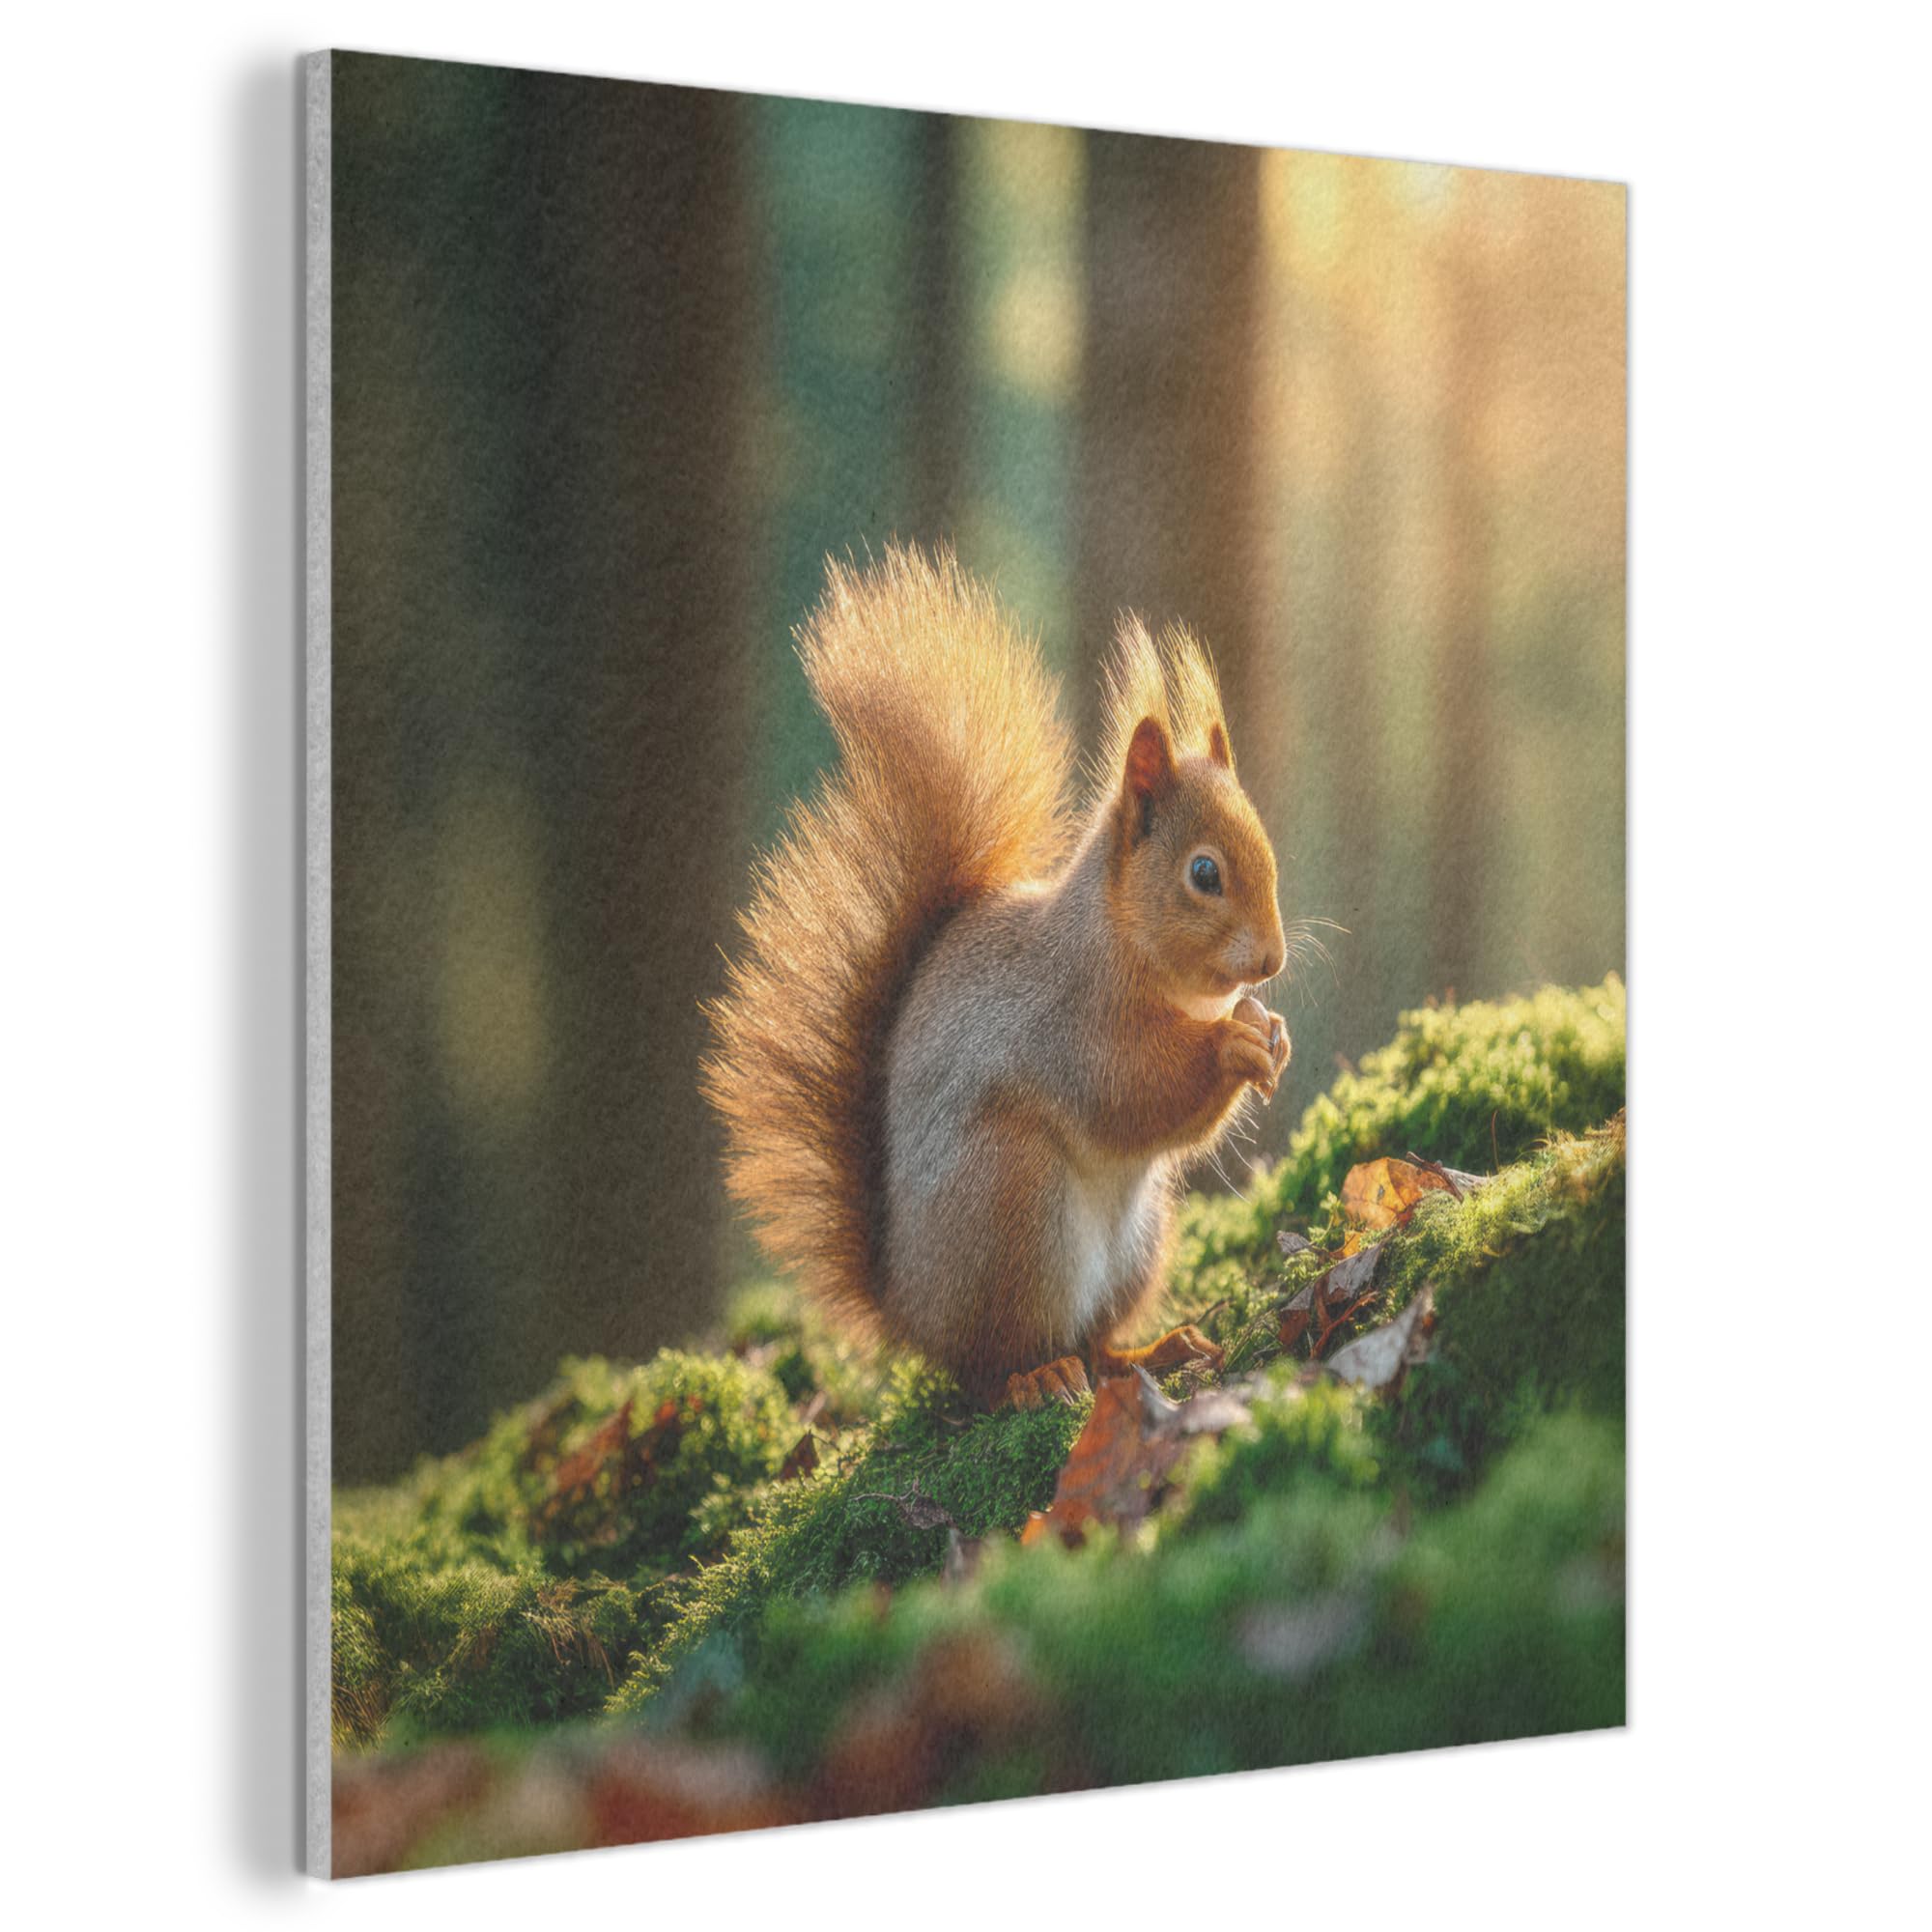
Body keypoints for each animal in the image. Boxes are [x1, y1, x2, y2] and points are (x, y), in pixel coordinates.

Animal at [703, 544, 1290, 1410]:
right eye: (1205, 873)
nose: (1274, 961)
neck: (1117, 943)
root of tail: (908, 1309)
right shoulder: (1068, 1022)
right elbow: (1133, 1092)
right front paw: (1233, 1046)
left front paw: (1271, 1034)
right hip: (1012, 1202)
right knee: (992, 1366)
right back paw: (1035, 1378)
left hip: (1138, 1241)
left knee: (1095, 1342)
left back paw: (1151, 1351)